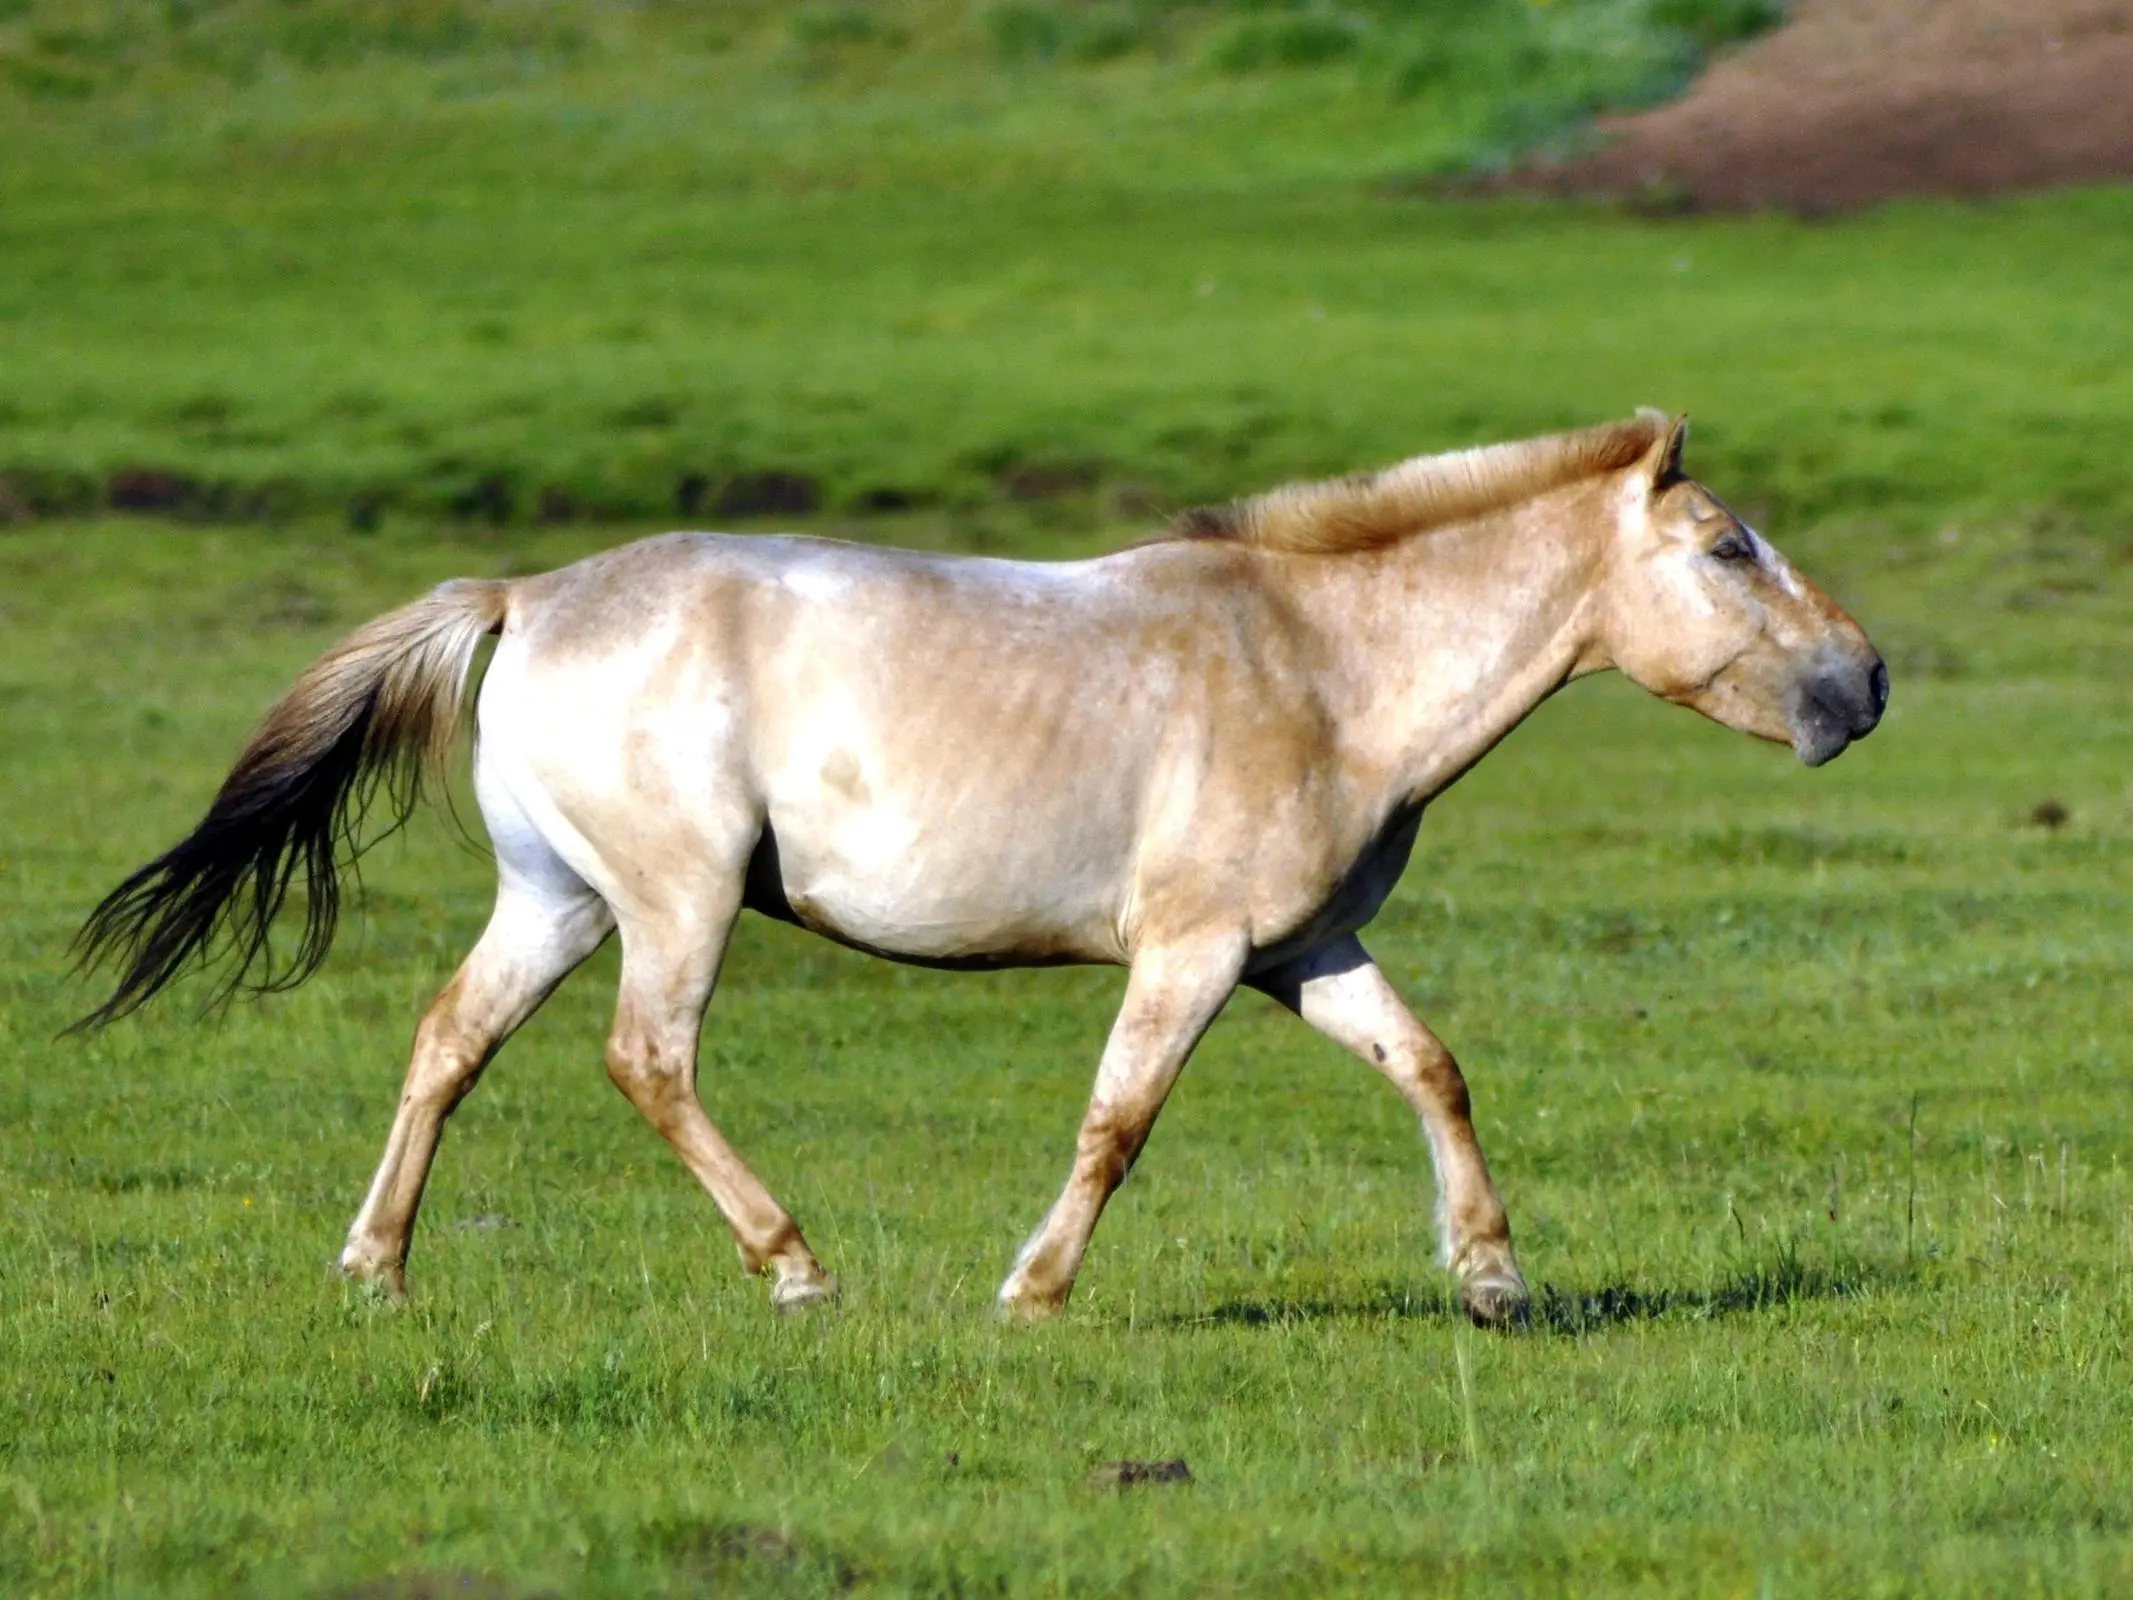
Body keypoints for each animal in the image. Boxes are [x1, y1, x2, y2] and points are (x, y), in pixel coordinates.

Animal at [78, 413, 1885, 1331]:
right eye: (1729, 547)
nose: (1863, 684)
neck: (1320, 665)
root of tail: (526, 593)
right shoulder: (1192, 954)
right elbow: (1119, 1121)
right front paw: (1033, 1288)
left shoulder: (1298, 955)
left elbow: (1429, 1068)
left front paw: (1493, 1276)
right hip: (671, 902)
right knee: (645, 1059)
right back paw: (794, 1265)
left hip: (559, 895)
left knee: (451, 1043)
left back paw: (377, 1267)